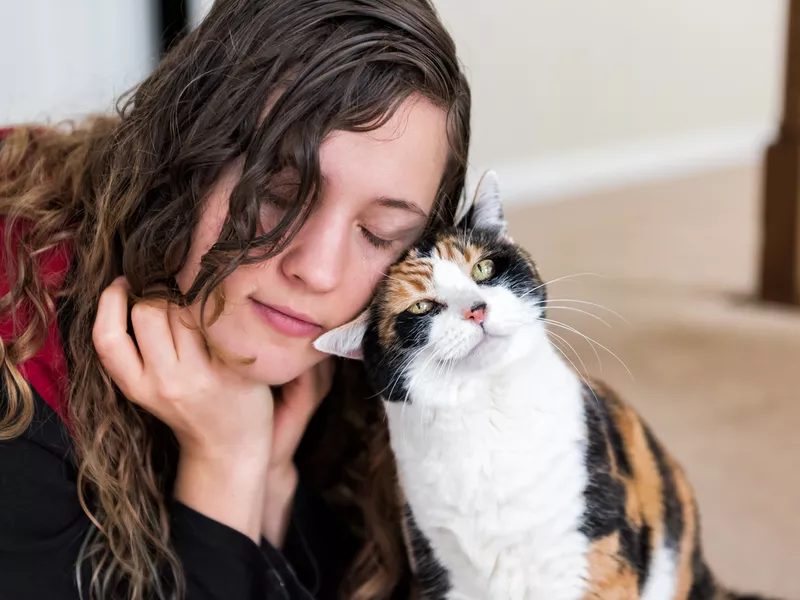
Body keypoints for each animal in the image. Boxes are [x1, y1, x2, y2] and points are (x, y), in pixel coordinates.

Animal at [312, 173, 776, 600]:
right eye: (422, 306)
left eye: (483, 269)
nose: (477, 310)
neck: (489, 425)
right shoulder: (440, 570)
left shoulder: (596, 555)